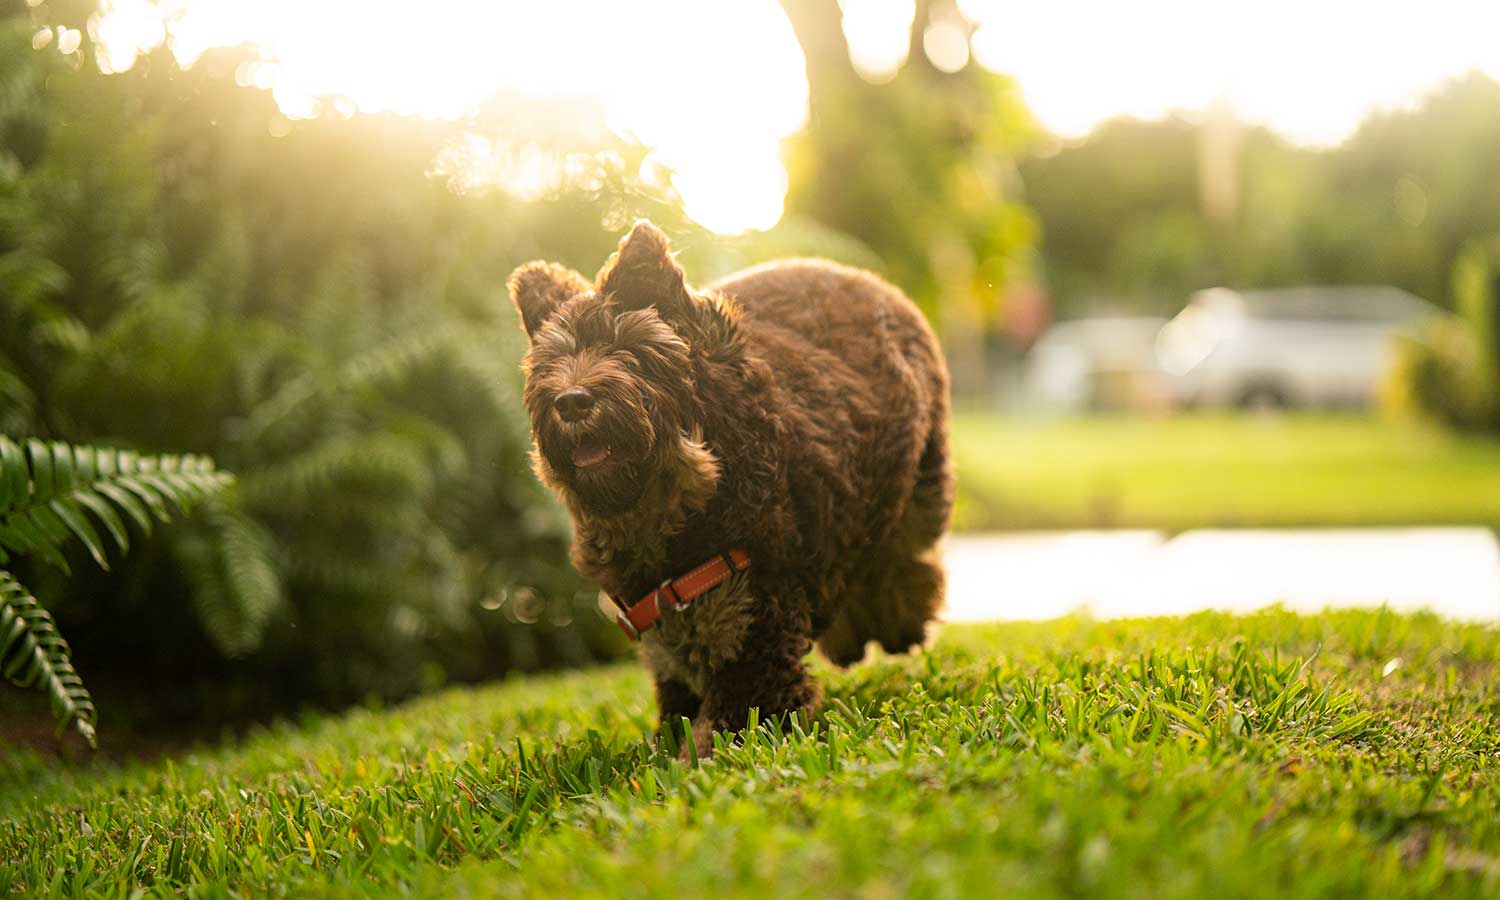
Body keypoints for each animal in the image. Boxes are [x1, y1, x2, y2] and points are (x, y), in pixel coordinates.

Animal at [504, 223, 948, 753]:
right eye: (549, 364)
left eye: (629, 350)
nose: (571, 401)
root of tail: (875, 283)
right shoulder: (665, 624)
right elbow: (675, 704)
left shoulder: (757, 634)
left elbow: (719, 731)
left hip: (921, 481)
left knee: (905, 552)